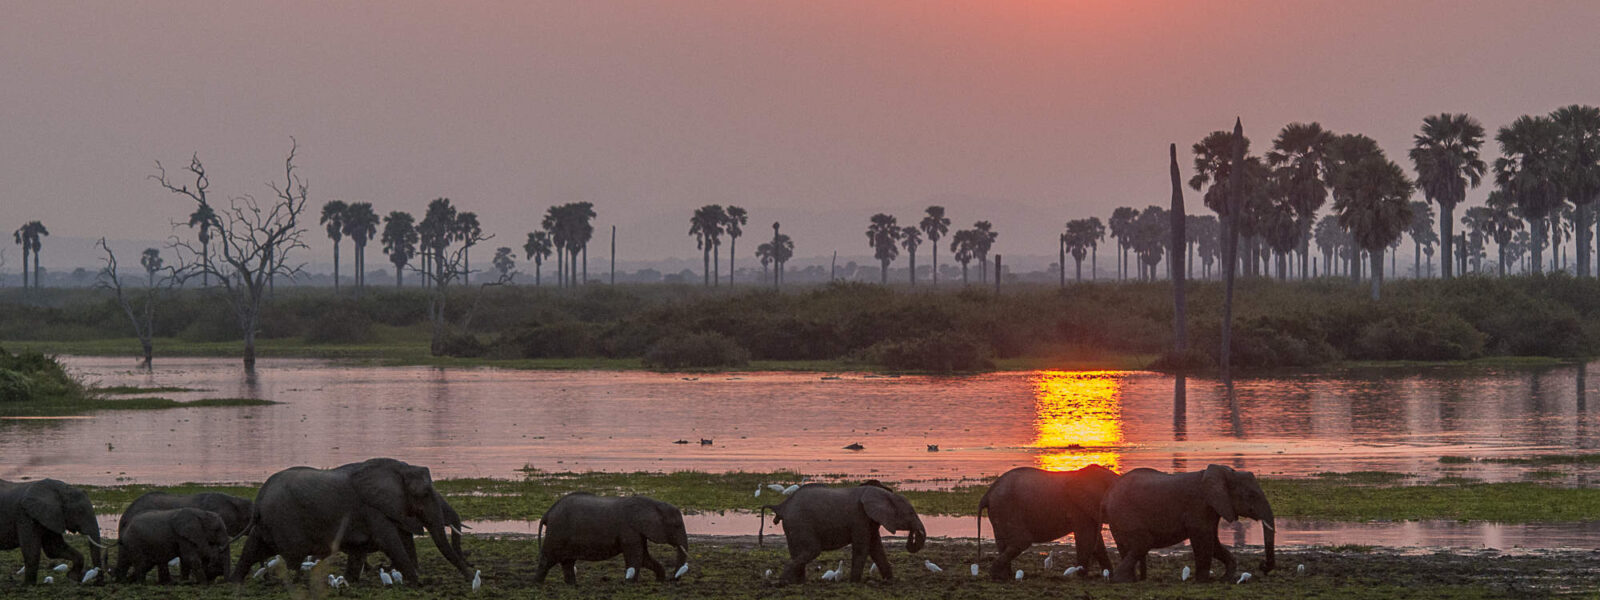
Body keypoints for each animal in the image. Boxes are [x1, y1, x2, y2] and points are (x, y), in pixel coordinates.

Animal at [228, 457, 470, 585]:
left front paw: (351, 581)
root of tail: (260, 497)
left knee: (252, 549)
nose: (470, 574)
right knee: (292, 558)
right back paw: (295, 583)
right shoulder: (372, 509)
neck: (400, 468)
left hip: (266, 523)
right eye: (425, 493)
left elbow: (363, 549)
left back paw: (234, 582)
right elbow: (390, 542)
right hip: (284, 520)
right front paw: (418, 583)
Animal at [537, 489, 688, 585]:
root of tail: (548, 513)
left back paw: (573, 586)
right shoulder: (629, 529)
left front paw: (659, 580)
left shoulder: (638, 531)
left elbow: (644, 558)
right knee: (548, 559)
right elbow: (636, 557)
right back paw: (537, 584)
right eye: (677, 525)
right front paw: (630, 584)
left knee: (567, 562)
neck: (653, 504)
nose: (673, 580)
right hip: (556, 532)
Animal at [758, 483, 928, 588]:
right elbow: (863, 548)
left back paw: (798, 584)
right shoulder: (859, 517)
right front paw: (854, 583)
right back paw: (782, 583)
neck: (884, 493)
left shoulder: (869, 520)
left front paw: (890, 581)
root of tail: (782, 505)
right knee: (812, 550)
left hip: (792, 525)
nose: (913, 533)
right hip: (800, 522)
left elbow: (876, 548)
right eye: (910, 513)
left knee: (797, 551)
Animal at [972, 464, 1113, 582]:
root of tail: (987, 495)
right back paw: (996, 576)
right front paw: (1081, 577)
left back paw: (1004, 576)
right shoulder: (1079, 509)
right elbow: (1087, 538)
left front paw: (1112, 576)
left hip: (999, 511)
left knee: (1003, 543)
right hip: (1006, 508)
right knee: (1022, 541)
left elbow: (1096, 542)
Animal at [1100, 464, 1273, 585]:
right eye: (1251, 495)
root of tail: (1108, 494)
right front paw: (1203, 581)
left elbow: (1214, 542)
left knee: (1127, 546)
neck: (1222, 473)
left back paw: (1130, 580)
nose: (1263, 566)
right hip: (1125, 513)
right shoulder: (1199, 505)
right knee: (1143, 543)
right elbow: (1203, 539)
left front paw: (1225, 579)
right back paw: (1120, 580)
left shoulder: (1212, 507)